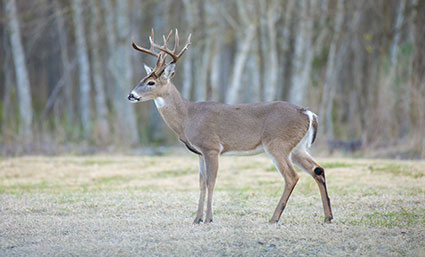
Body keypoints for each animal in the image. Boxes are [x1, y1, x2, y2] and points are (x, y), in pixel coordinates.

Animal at [127, 29, 332, 223]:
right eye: (141, 80)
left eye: (151, 82)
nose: (131, 95)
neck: (188, 116)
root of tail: (308, 113)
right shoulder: (199, 153)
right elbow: (201, 183)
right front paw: (196, 219)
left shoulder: (211, 147)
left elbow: (211, 182)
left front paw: (208, 218)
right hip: (297, 147)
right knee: (318, 170)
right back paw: (328, 217)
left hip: (277, 144)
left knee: (292, 176)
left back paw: (274, 218)